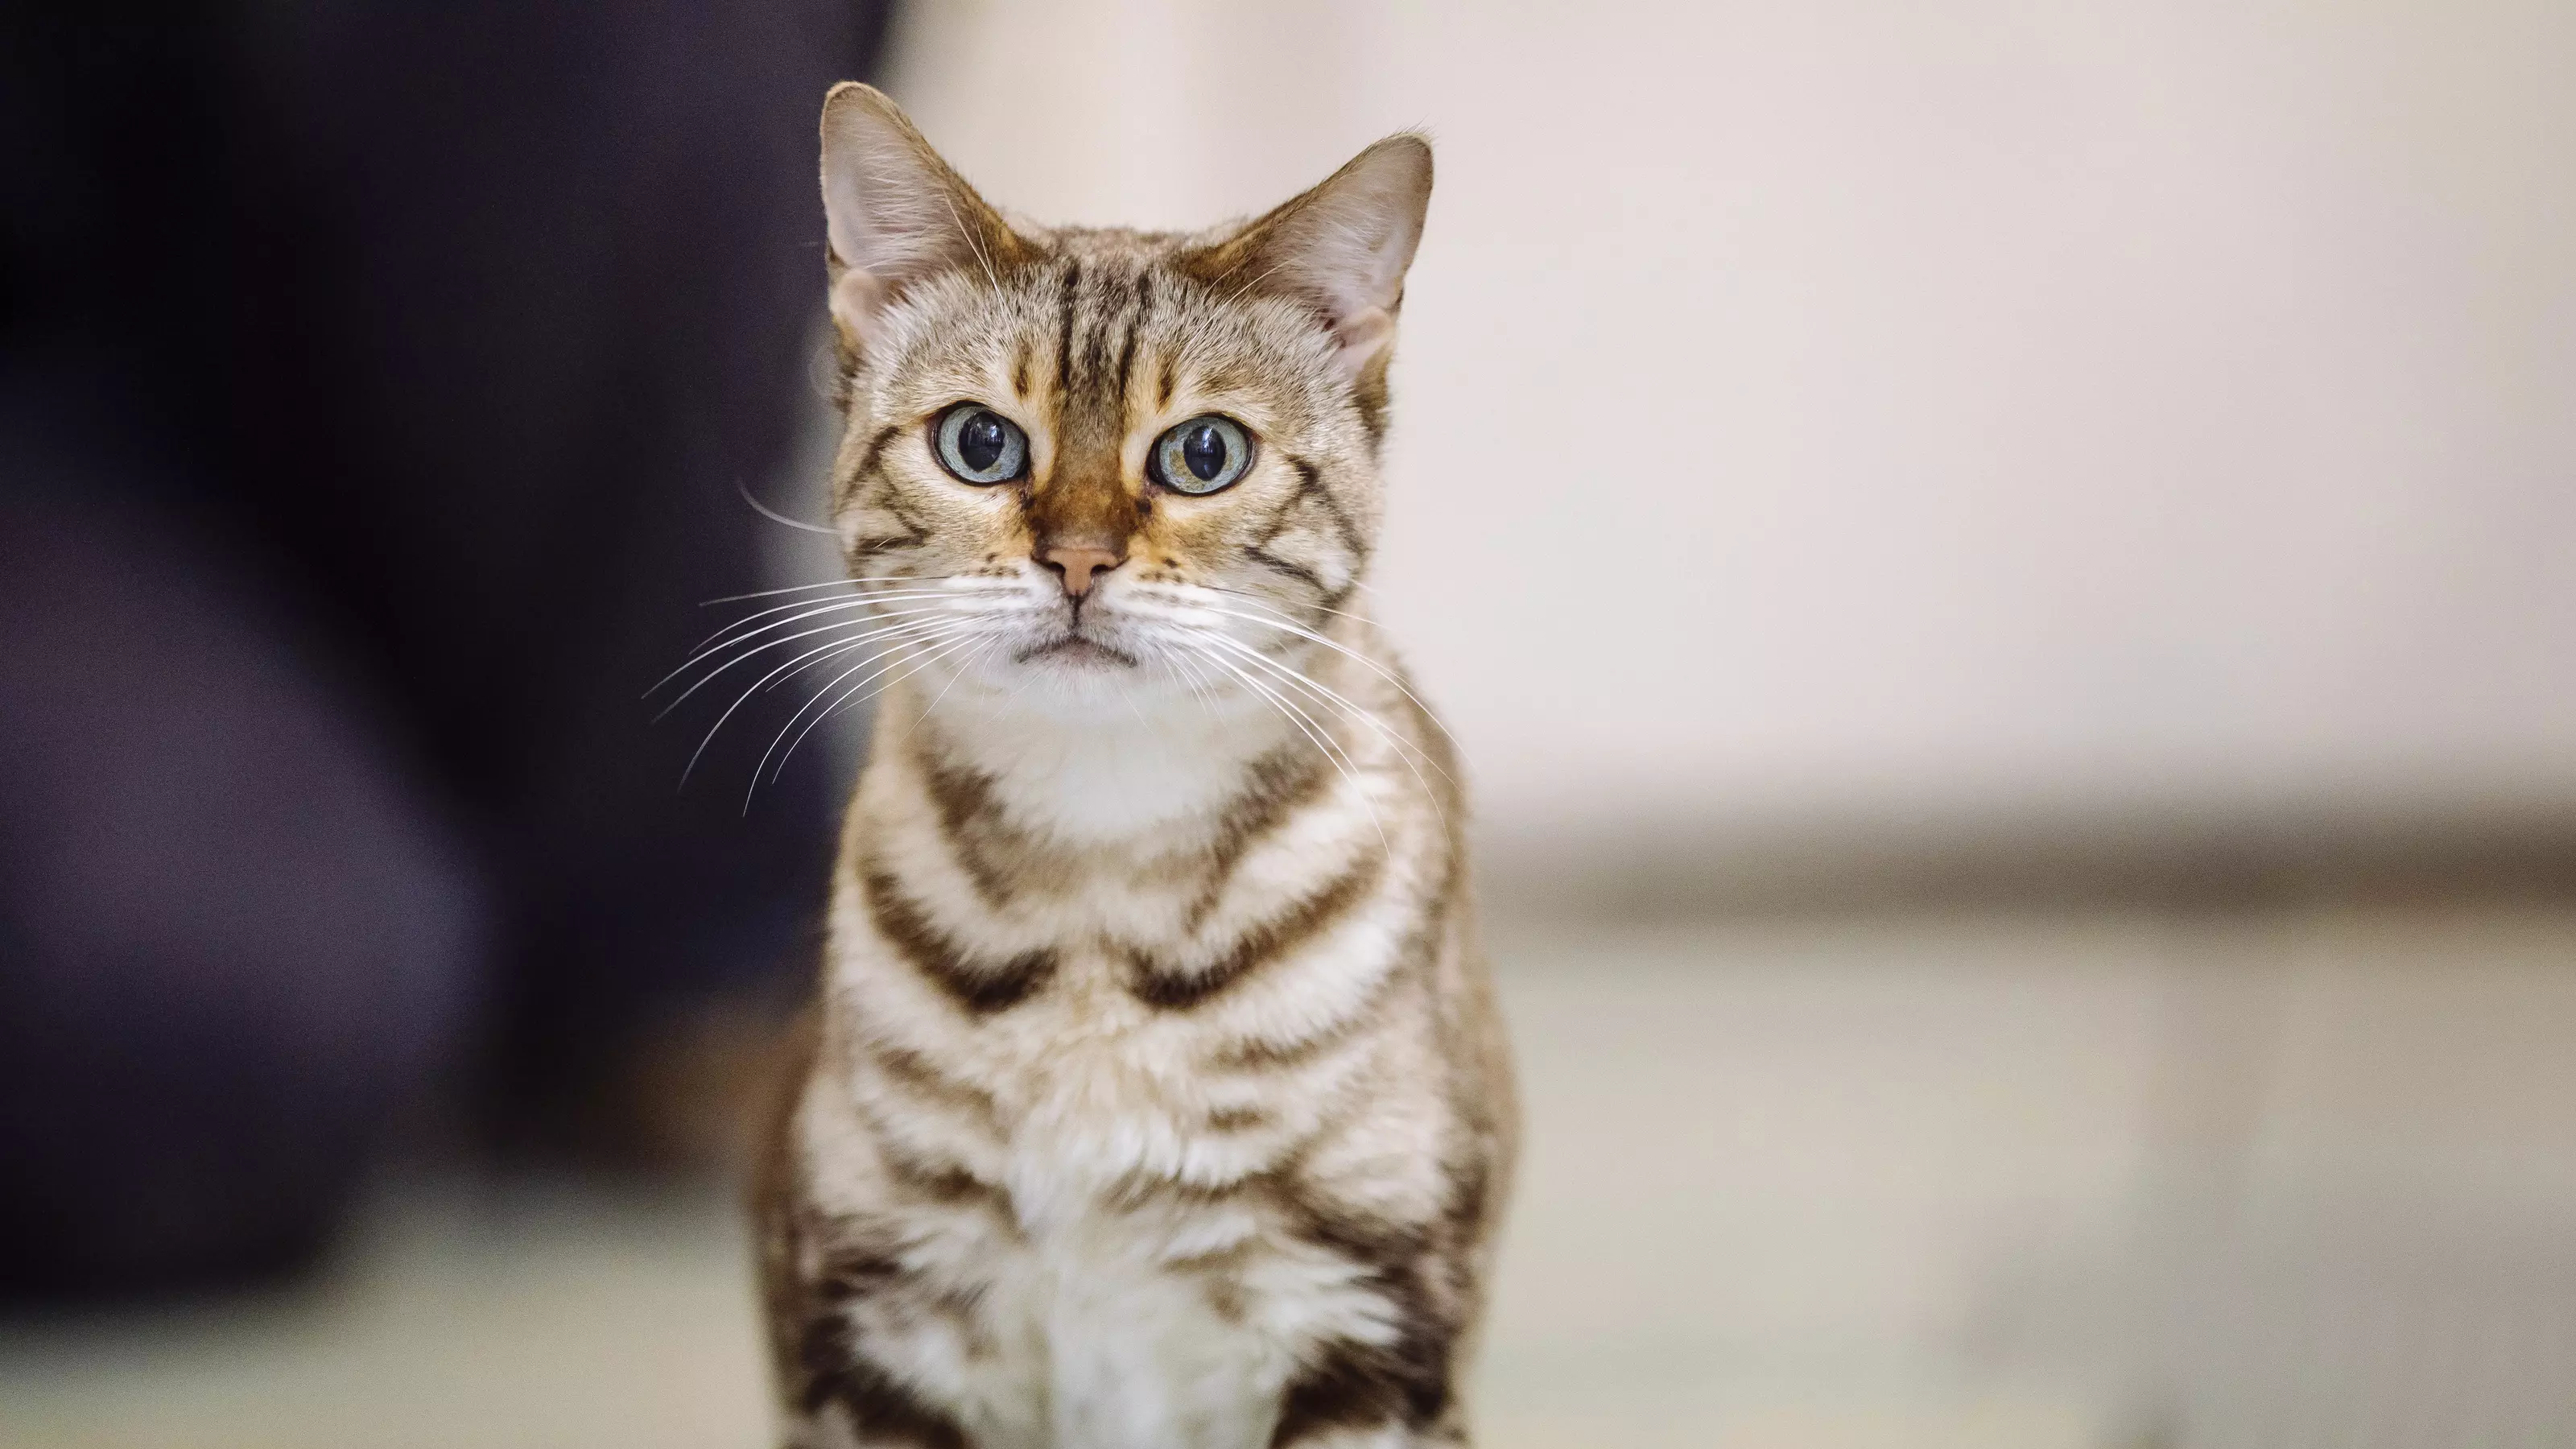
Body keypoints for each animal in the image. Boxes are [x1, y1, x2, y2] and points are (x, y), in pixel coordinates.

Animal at [752, 81, 1504, 1443]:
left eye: (1204, 455)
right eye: (981, 444)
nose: (1080, 559)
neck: (1099, 891)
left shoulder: (1369, 1320)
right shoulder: (880, 1322)